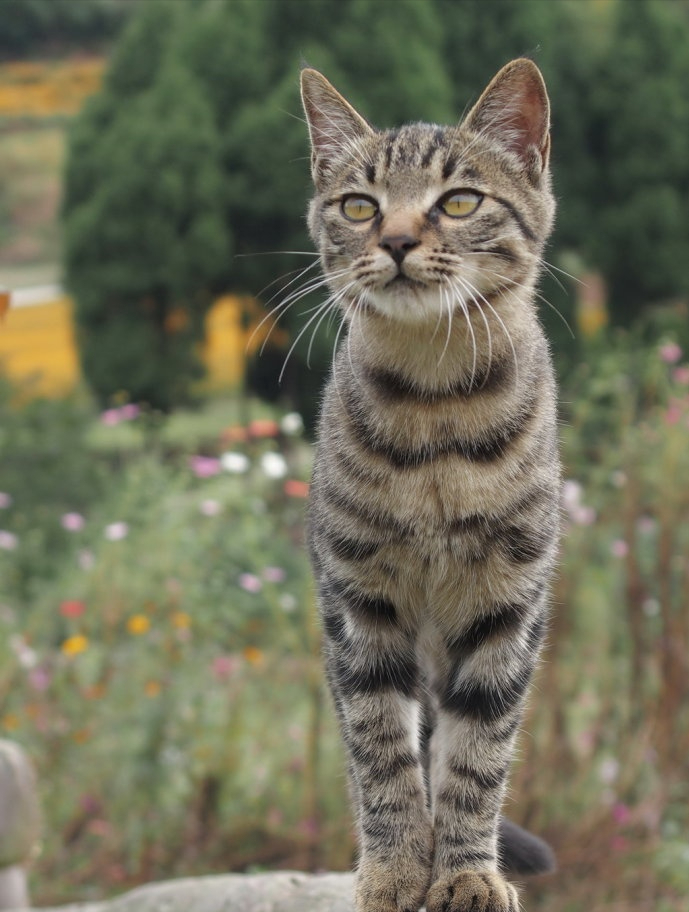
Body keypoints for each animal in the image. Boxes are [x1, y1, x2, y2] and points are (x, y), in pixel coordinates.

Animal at [300, 58, 560, 912]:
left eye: (458, 201)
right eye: (359, 205)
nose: (397, 239)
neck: (435, 405)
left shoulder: (508, 605)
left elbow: (477, 755)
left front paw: (468, 872)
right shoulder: (357, 605)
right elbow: (379, 748)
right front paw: (392, 871)